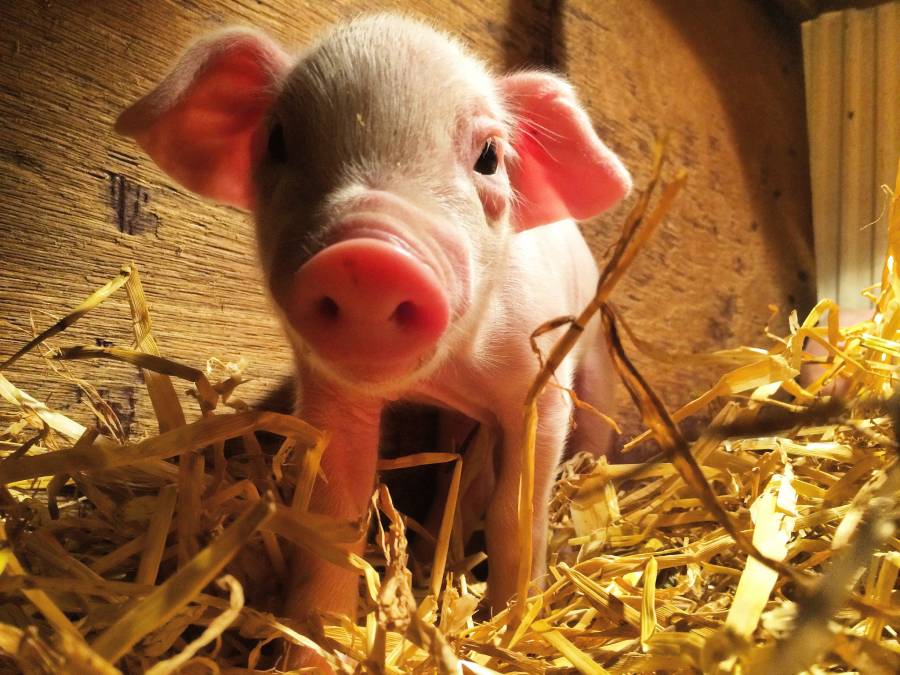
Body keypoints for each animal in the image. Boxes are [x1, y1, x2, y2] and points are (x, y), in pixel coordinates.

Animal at [116, 12, 630, 635]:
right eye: (277, 140)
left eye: (489, 155)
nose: (369, 257)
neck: (446, 375)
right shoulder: (333, 397)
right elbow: (336, 517)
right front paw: (319, 644)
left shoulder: (541, 388)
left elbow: (516, 512)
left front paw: (512, 619)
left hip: (596, 351)